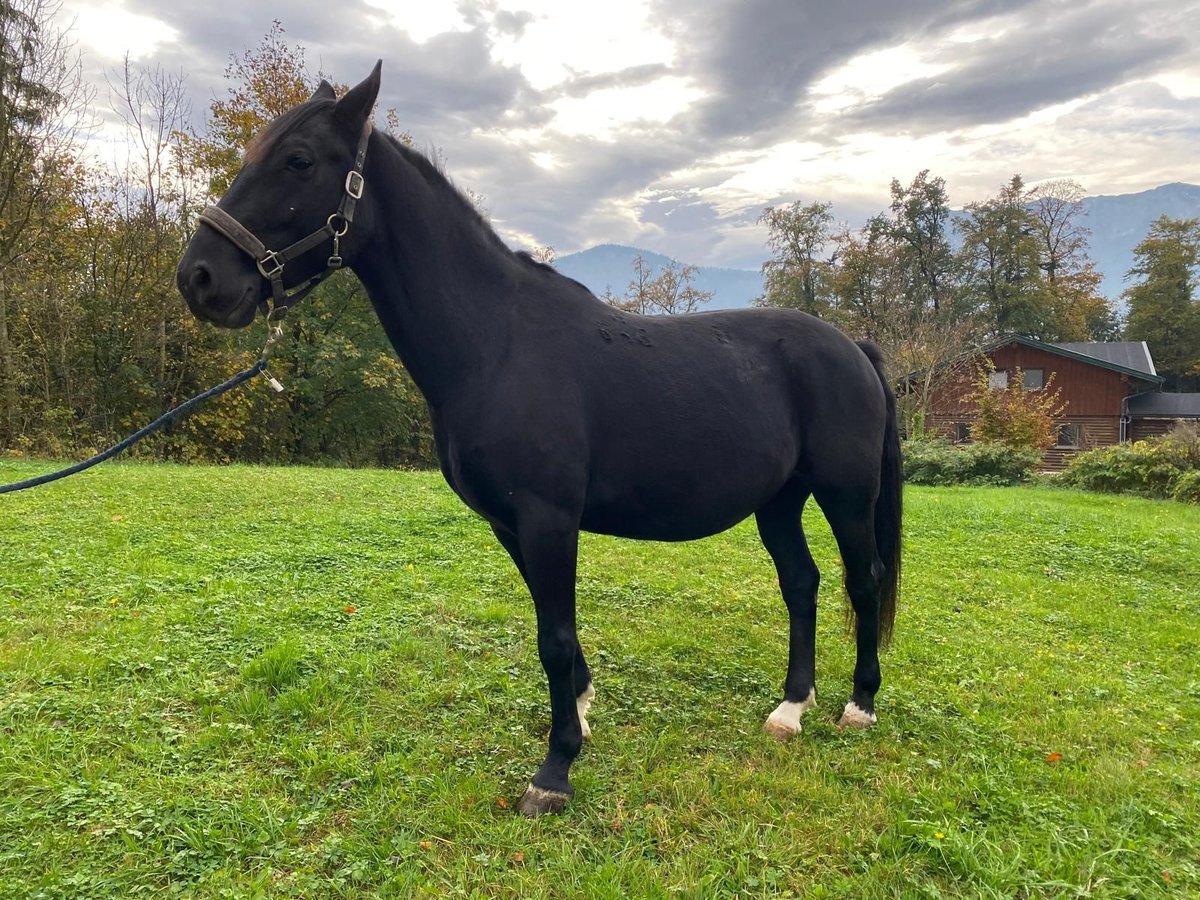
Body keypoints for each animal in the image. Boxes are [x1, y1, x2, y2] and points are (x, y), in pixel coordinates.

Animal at [177, 63, 902, 816]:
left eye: (298, 160)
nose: (199, 278)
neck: (496, 344)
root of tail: (852, 347)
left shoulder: (549, 519)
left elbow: (552, 637)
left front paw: (554, 770)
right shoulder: (510, 524)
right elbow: (558, 634)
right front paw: (579, 712)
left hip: (845, 495)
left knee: (864, 579)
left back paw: (859, 706)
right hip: (778, 501)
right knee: (802, 582)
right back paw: (790, 708)